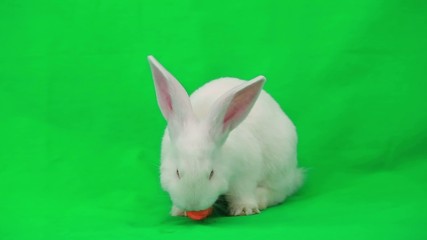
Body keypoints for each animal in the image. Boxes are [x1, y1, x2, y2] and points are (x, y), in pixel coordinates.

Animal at [149, 55, 302, 216]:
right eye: (177, 172)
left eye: (211, 173)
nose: (193, 206)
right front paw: (178, 211)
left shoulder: (245, 174)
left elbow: (243, 192)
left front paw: (244, 209)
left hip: (280, 169)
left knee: (280, 192)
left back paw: (260, 198)